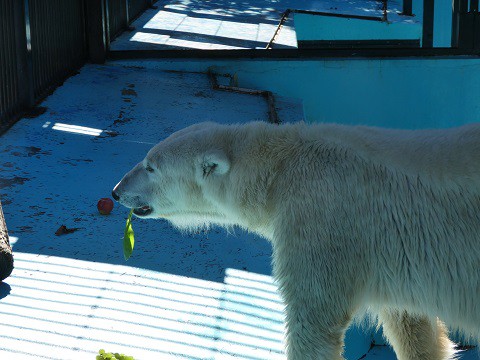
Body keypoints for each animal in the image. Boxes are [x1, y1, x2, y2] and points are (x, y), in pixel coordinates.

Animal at [111, 121, 480, 360]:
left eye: (150, 166)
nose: (116, 192)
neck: (280, 168)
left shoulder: (324, 226)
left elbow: (312, 321)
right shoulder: (394, 256)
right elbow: (412, 326)